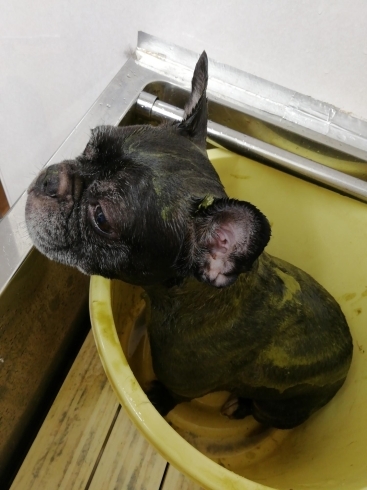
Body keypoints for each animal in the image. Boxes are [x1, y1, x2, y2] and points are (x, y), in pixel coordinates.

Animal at [25, 51, 354, 426]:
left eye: (101, 218)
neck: (186, 302)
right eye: (90, 144)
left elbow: (167, 397)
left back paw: (240, 405)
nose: (51, 179)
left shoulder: (183, 388)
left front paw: (154, 400)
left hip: (280, 408)